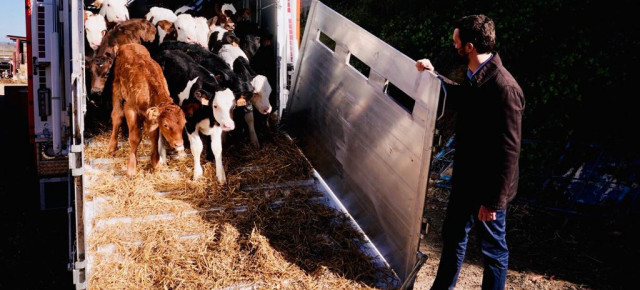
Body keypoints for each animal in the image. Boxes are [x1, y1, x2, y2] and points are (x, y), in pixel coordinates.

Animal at [108, 43, 185, 177]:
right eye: (165, 125)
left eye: (184, 123)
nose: (179, 144)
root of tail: (127, 45)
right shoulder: (130, 109)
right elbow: (135, 138)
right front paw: (131, 168)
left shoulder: (153, 116)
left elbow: (154, 136)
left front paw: (155, 162)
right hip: (116, 88)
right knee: (117, 116)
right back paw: (112, 146)